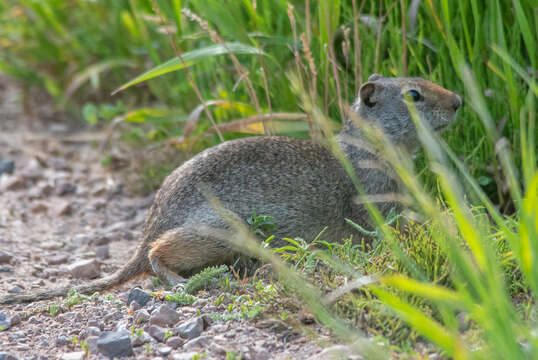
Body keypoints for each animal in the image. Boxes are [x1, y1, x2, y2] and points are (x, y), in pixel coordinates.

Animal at [0, 74, 460, 304]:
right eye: (414, 95)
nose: (458, 101)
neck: (369, 147)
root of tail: (150, 227)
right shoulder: (375, 206)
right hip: (223, 232)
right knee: (156, 256)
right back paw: (186, 281)